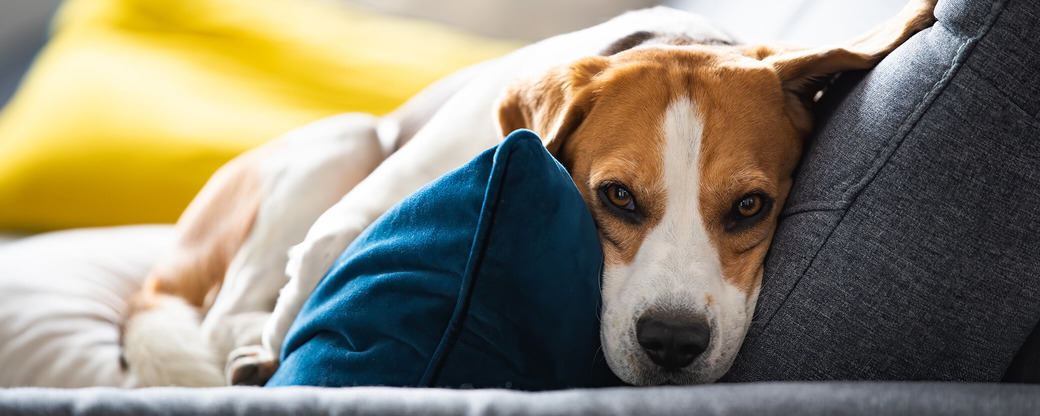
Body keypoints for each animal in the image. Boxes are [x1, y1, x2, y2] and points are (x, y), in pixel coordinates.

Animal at [119, 0, 935, 386]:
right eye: (616, 197)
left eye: (749, 208)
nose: (672, 344)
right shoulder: (342, 220)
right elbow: (305, 286)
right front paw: (270, 350)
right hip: (345, 142)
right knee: (220, 313)